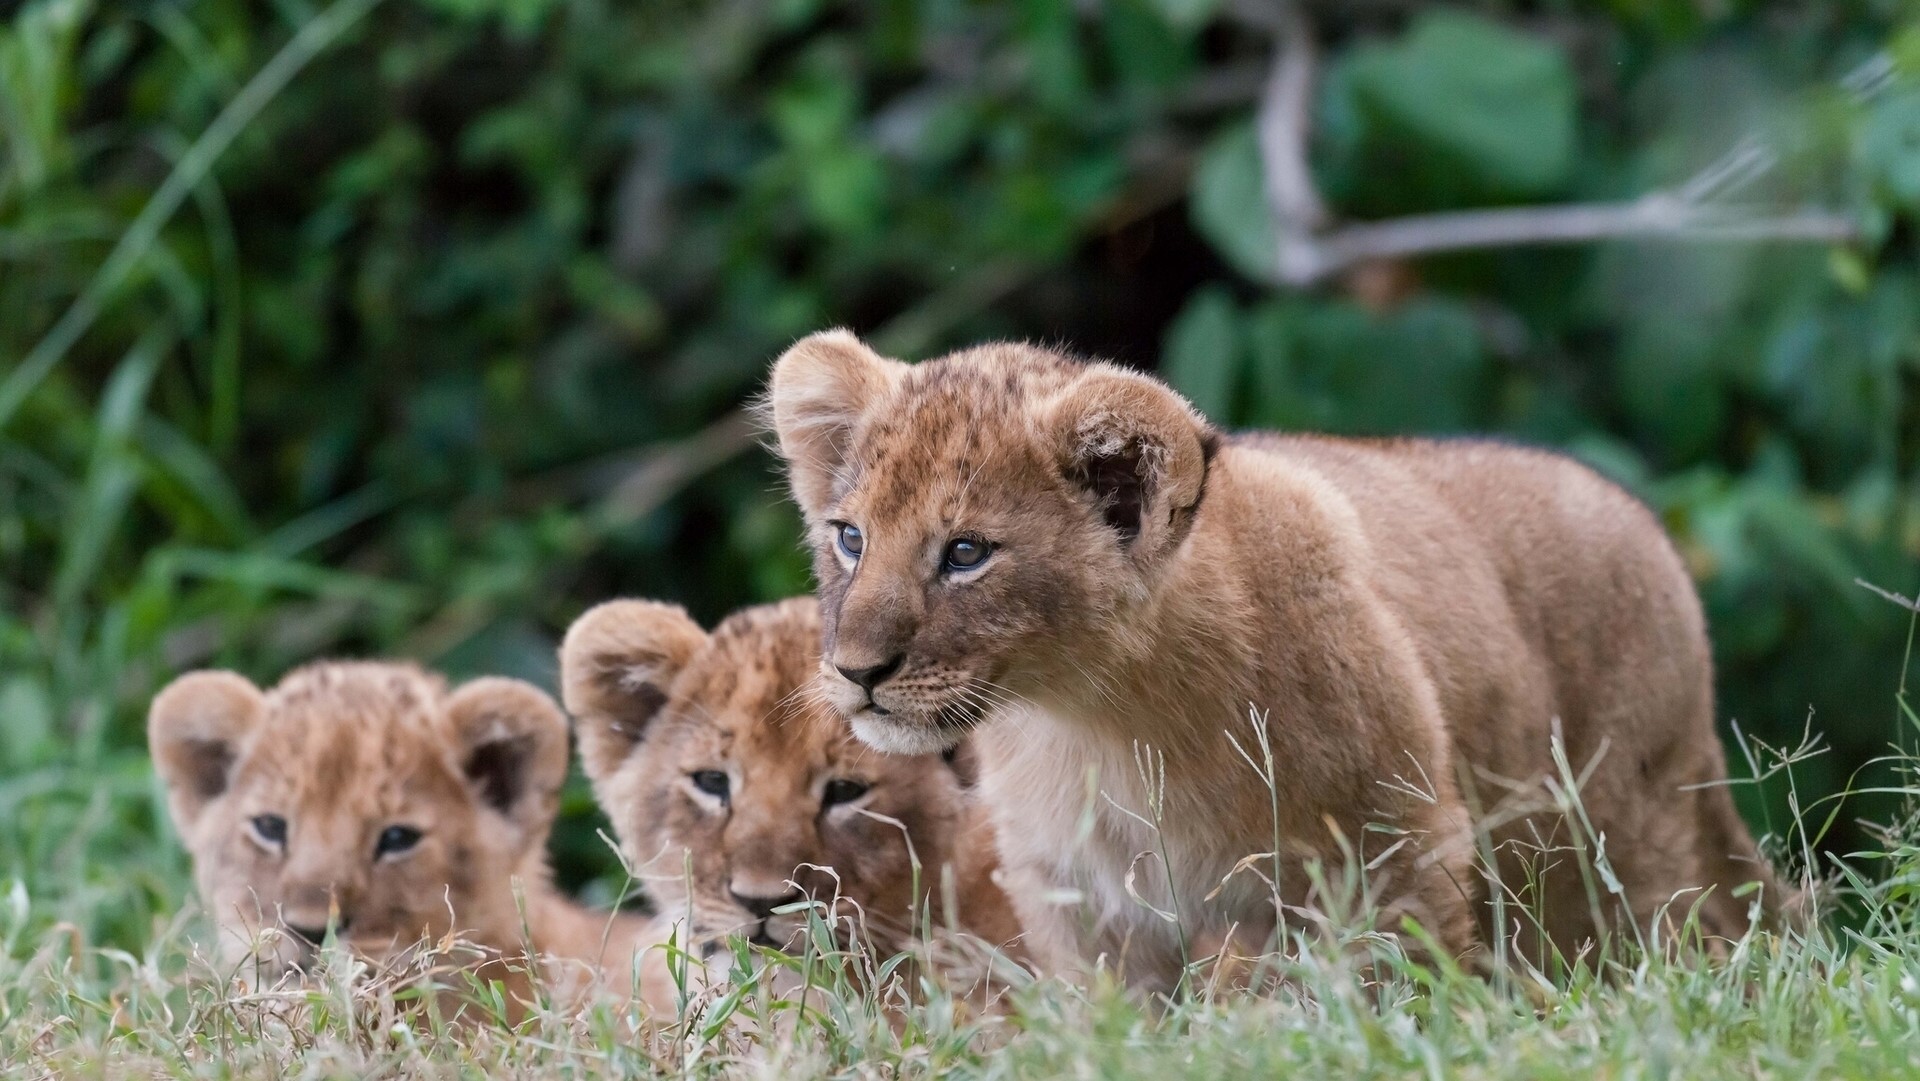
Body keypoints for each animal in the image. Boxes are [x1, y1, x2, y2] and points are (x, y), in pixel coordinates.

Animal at [764, 329, 1791, 993]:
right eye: (851, 538)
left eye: (966, 553)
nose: (855, 671)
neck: (1101, 717)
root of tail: (1650, 527)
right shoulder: (1085, 907)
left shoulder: (1397, 848)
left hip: (1628, 833)